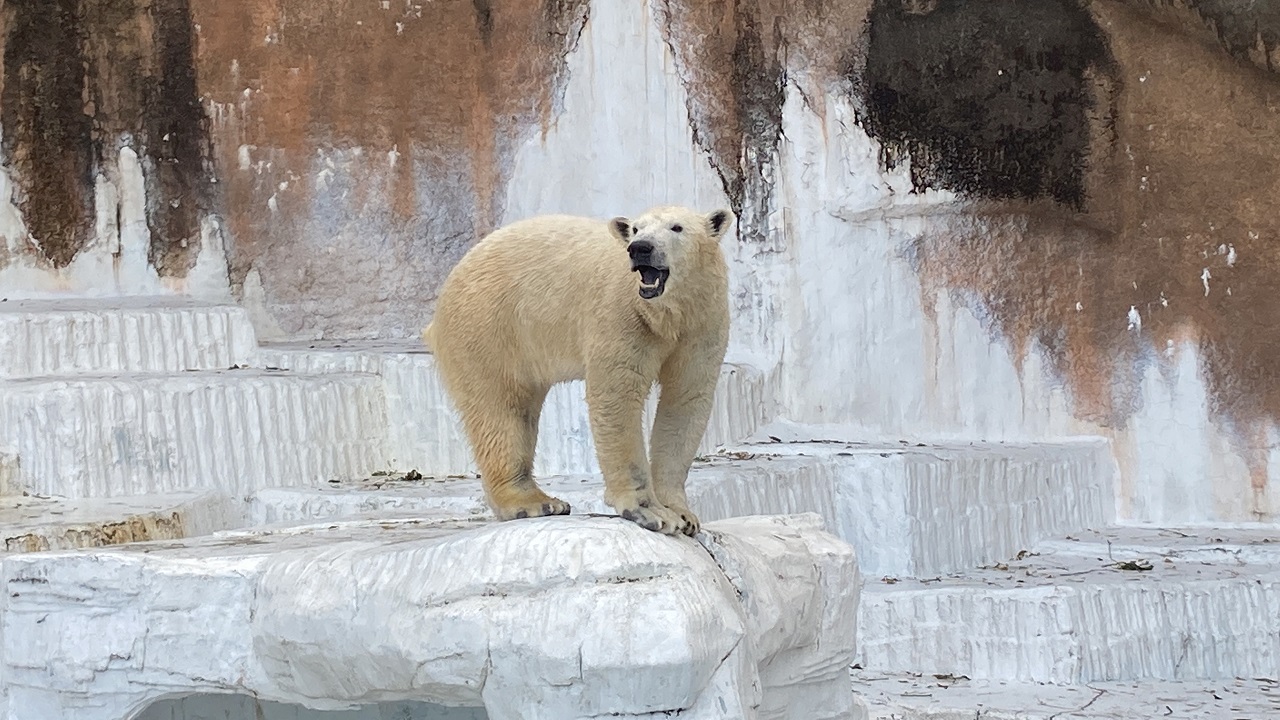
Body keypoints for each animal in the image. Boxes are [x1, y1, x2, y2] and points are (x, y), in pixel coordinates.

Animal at [422, 204, 732, 535]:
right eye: (636, 229)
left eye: (677, 227)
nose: (640, 249)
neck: (669, 314)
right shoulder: (622, 316)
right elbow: (617, 396)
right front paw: (650, 512)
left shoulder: (703, 324)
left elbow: (685, 400)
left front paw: (683, 515)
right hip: (488, 325)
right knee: (500, 409)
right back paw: (533, 503)